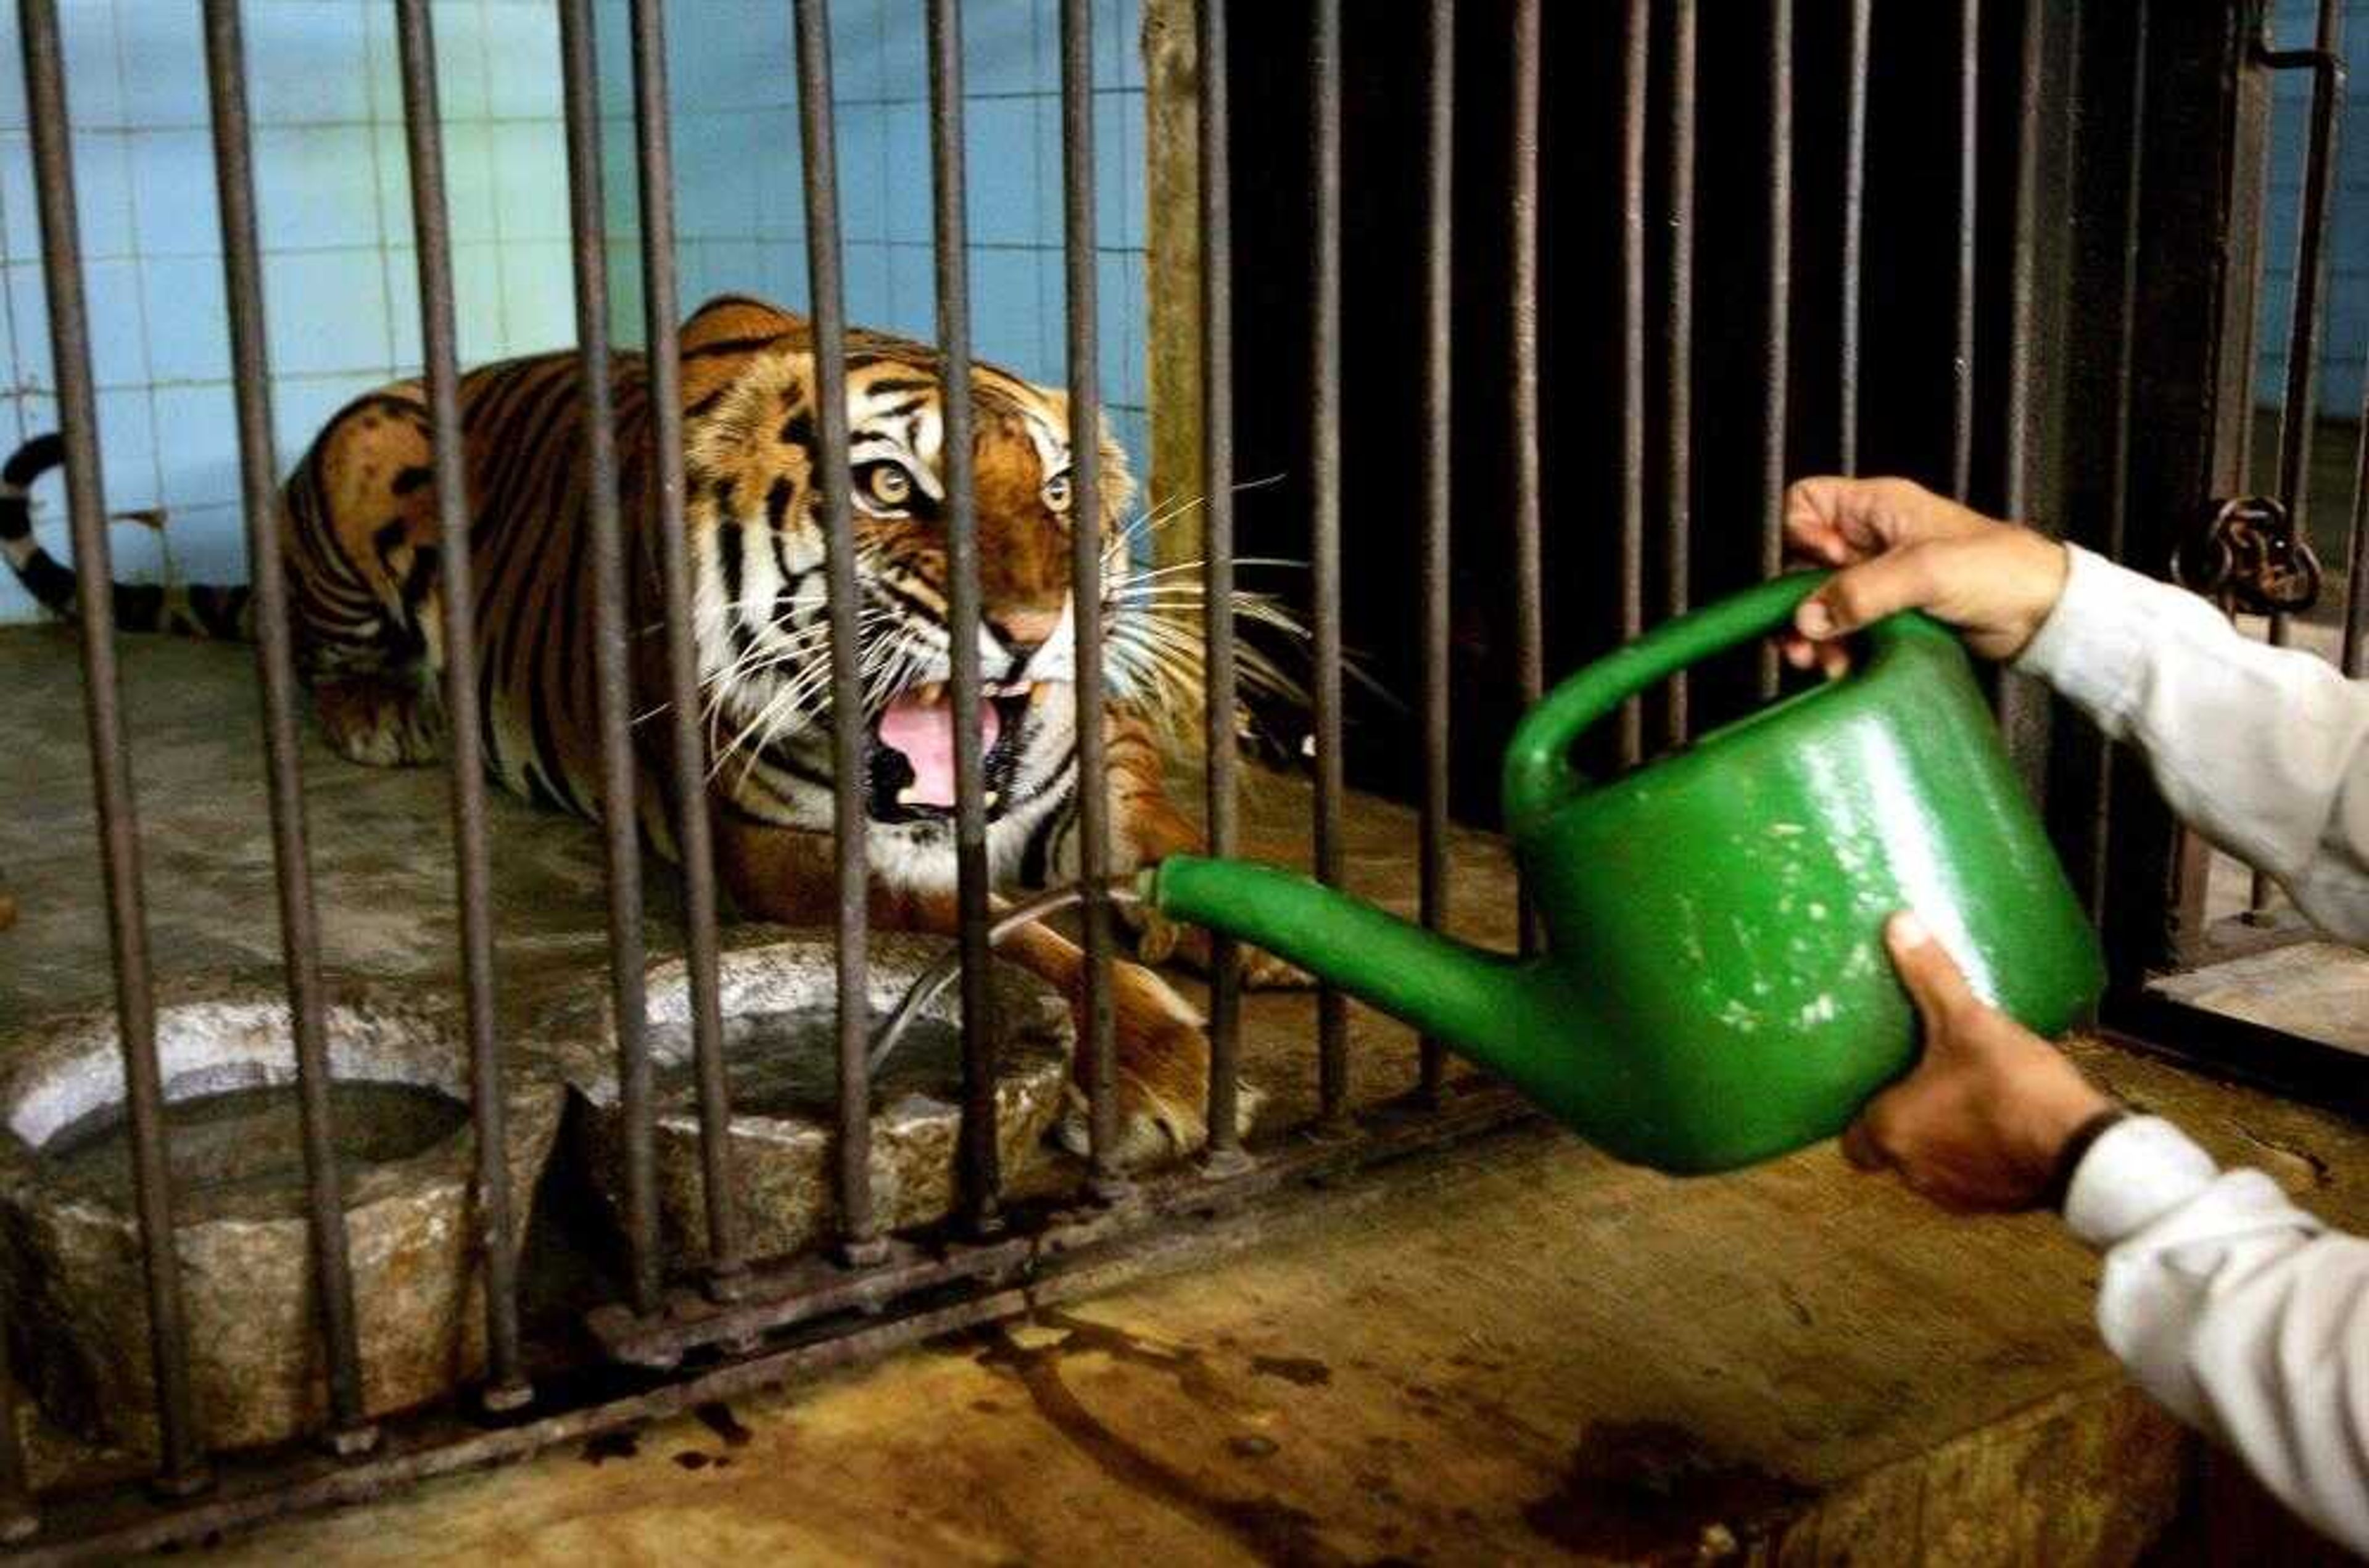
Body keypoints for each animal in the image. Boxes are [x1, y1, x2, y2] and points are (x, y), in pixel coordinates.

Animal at [0, 295, 1307, 1165]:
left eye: (1057, 491)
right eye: (890, 488)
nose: (1039, 629)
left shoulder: (1090, 749)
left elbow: (1157, 833)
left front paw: (1271, 917)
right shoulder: (790, 850)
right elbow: (1008, 935)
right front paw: (1158, 1068)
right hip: (368, 451)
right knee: (317, 652)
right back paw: (384, 709)